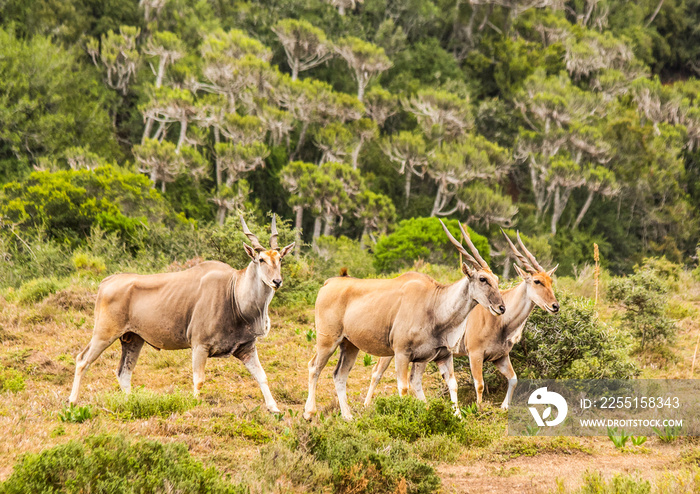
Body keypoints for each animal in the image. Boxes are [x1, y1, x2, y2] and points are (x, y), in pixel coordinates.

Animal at [72, 216, 296, 412]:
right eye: (261, 259)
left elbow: (262, 375)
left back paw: (129, 403)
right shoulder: (199, 346)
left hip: (133, 339)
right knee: (82, 360)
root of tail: (106, 281)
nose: (277, 281)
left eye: (280, 259)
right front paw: (195, 406)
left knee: (124, 372)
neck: (233, 293)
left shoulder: (246, 348)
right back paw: (72, 402)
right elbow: (199, 380)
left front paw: (274, 409)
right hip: (104, 334)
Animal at [304, 221, 506, 420]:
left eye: (496, 279)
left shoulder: (438, 356)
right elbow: (404, 388)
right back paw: (309, 413)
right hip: (328, 341)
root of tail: (329, 283)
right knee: (314, 367)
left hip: (350, 345)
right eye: (483, 279)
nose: (501, 308)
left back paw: (347, 416)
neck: (434, 305)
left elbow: (448, 384)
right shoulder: (402, 353)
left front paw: (455, 417)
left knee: (339, 375)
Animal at [366, 228, 556, 410]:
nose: (555, 306)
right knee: (377, 372)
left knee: (412, 380)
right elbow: (479, 384)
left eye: (551, 281)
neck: (502, 323)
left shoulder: (500, 357)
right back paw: (367, 405)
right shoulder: (475, 354)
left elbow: (514, 379)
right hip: (394, 351)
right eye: (537, 281)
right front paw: (479, 409)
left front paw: (504, 406)